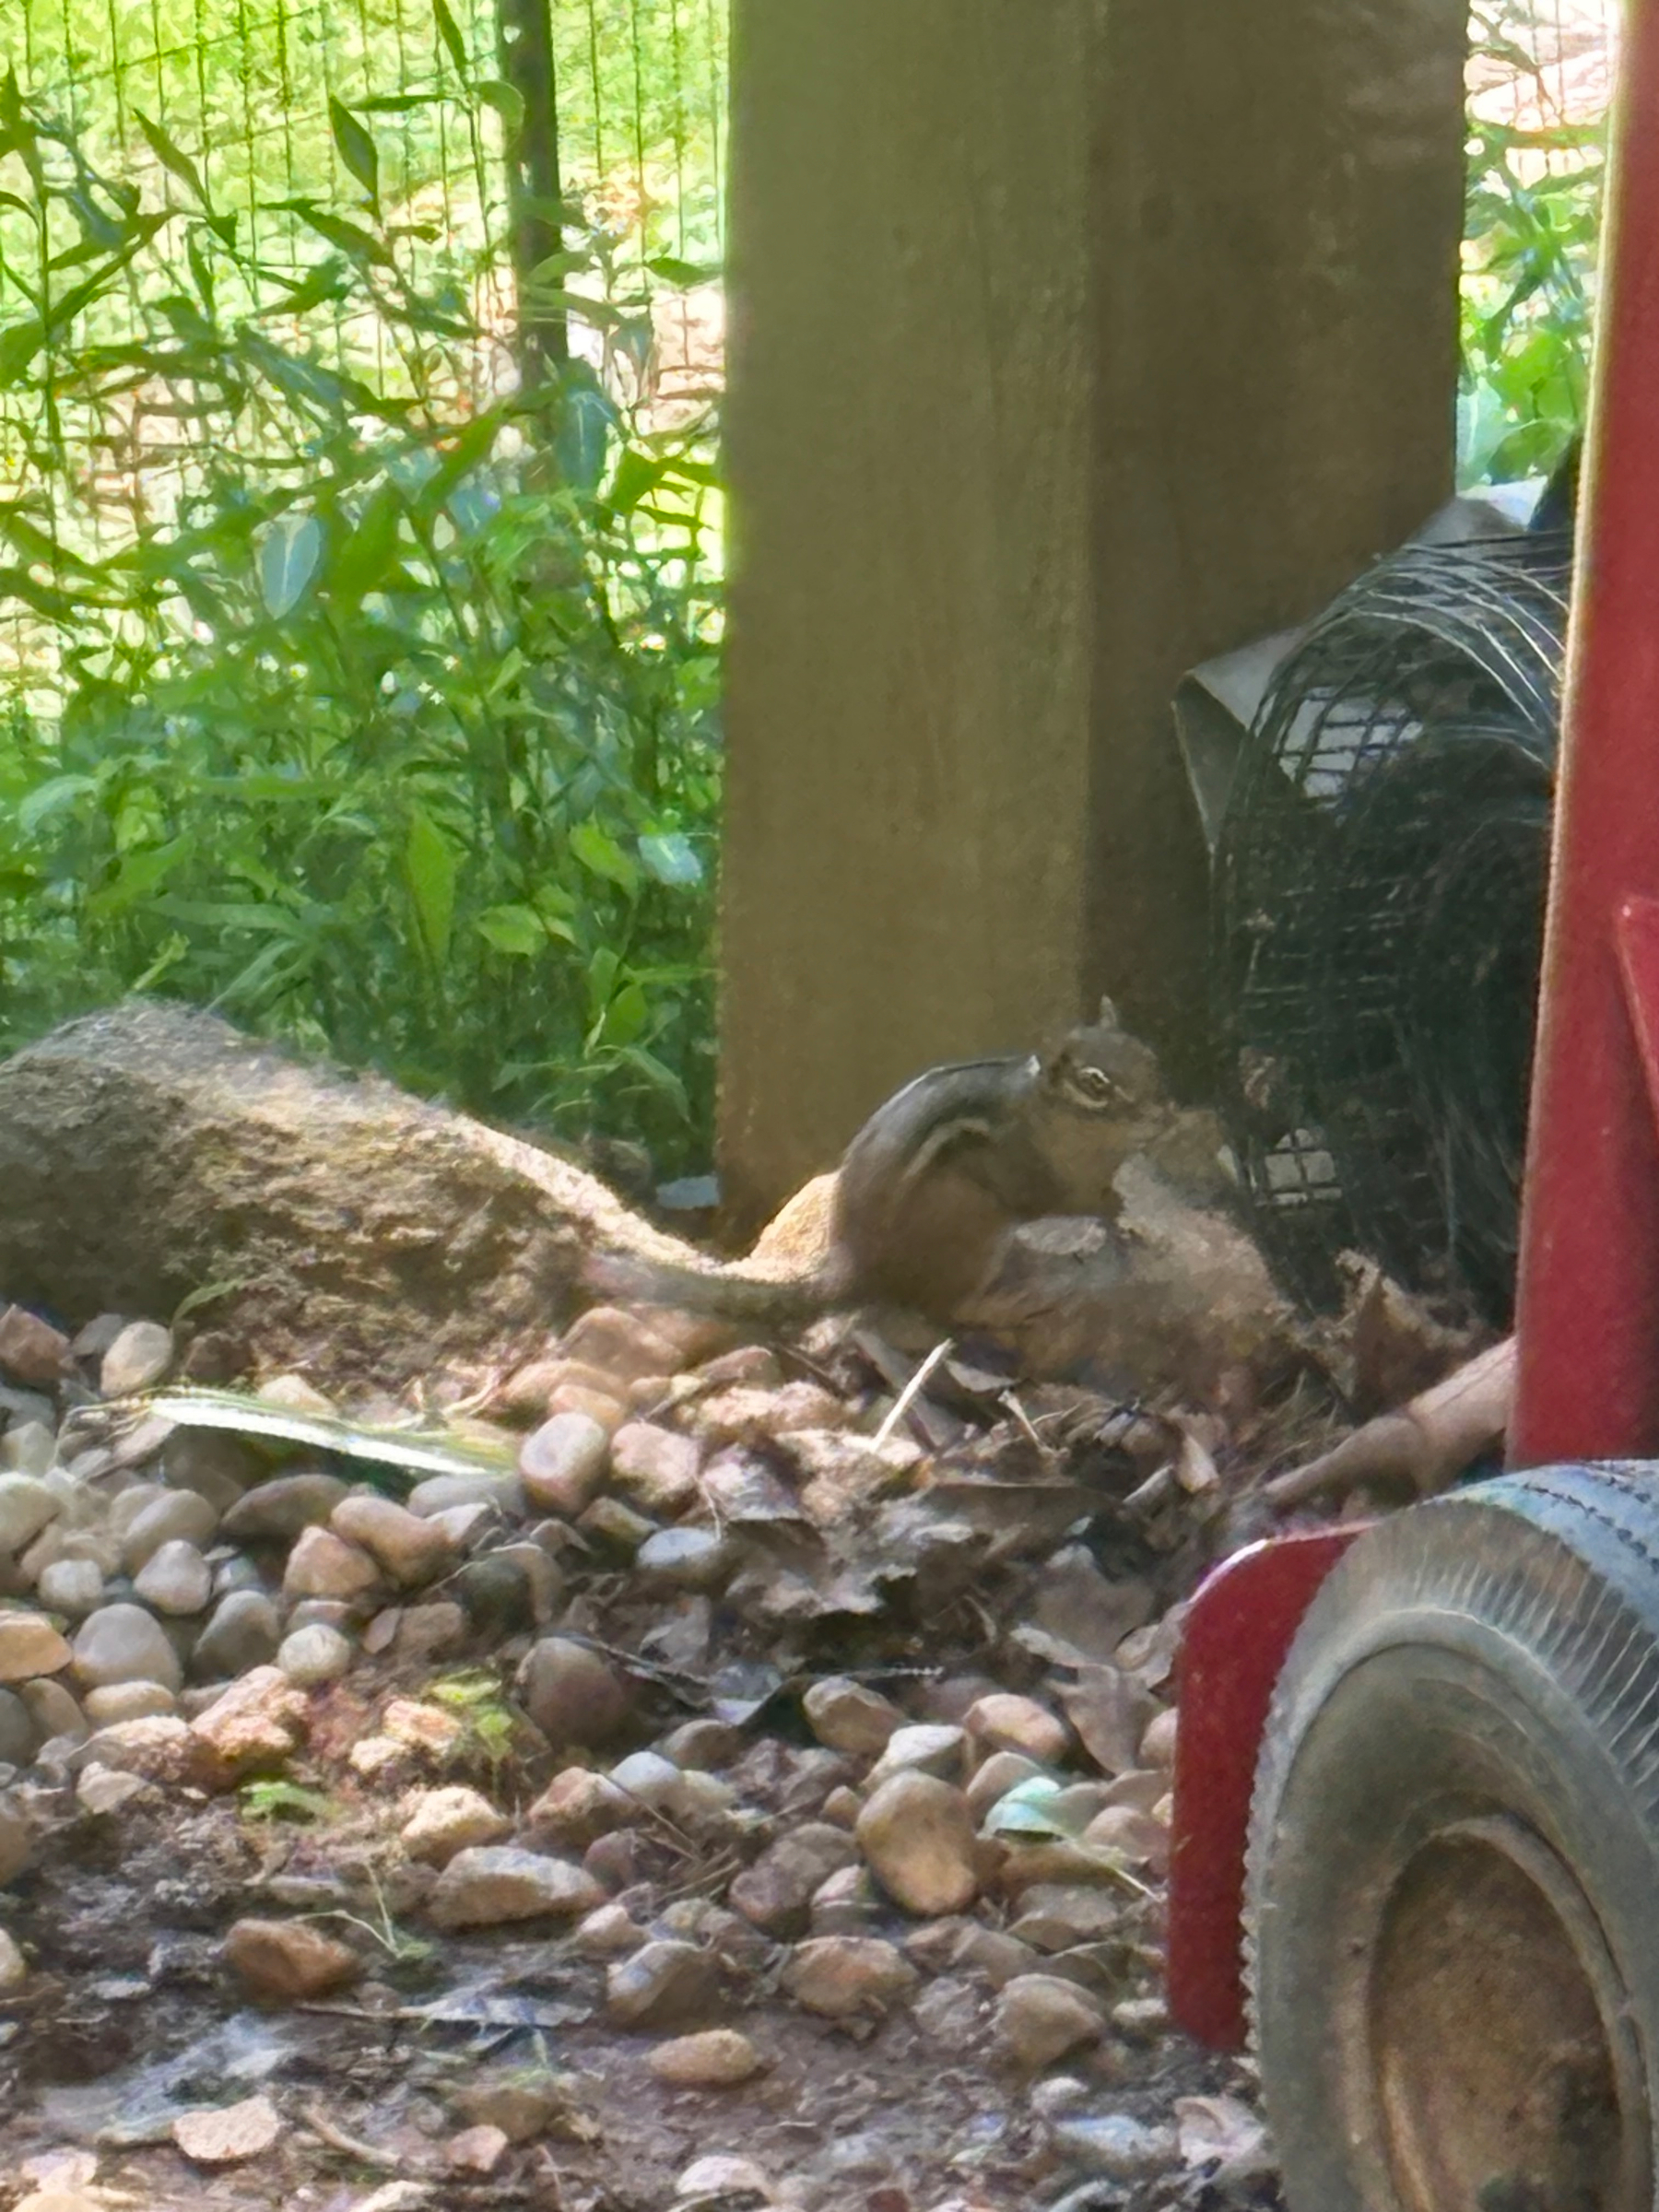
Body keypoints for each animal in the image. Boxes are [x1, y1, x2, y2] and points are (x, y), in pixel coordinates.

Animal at [585, 999, 1179, 1330]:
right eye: (1095, 1085)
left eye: (1152, 1059)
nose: (1165, 1116)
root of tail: (856, 1260)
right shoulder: (1033, 1171)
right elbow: (1063, 1201)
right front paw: (1114, 1218)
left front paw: (1132, 1213)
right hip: (973, 1226)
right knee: (943, 1307)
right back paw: (1008, 1303)